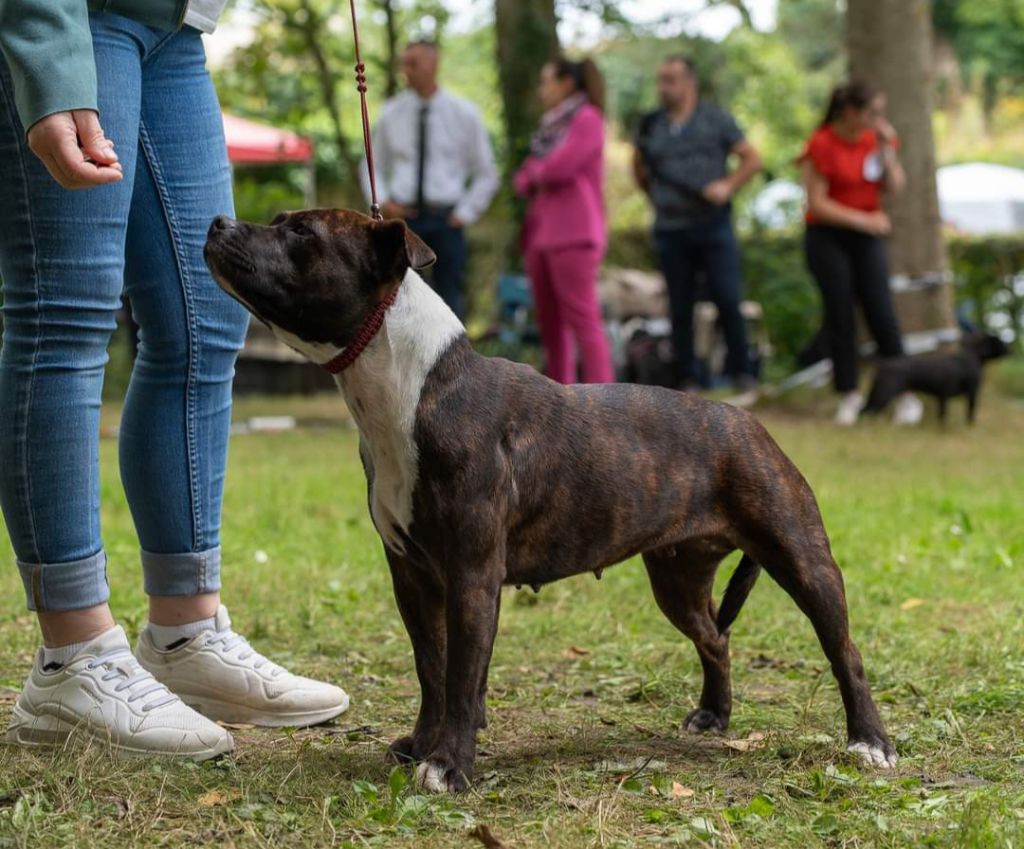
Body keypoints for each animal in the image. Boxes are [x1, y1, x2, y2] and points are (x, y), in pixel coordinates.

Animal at [205, 208, 897, 790]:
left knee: (844, 649)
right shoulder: (413, 575)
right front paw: (423, 745)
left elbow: (461, 676)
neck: (412, 387)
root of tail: (749, 423)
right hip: (677, 579)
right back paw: (712, 716)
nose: (216, 222)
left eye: (301, 232)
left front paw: (450, 766)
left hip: (802, 558)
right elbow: (432, 669)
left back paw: (870, 743)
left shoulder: (472, 574)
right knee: (715, 638)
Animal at [860, 331, 1011, 423]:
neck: (971, 355)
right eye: (998, 342)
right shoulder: (972, 393)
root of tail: (885, 363)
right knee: (867, 411)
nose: (1010, 347)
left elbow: (942, 415)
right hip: (882, 394)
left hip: (876, 392)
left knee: (865, 409)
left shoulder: (942, 397)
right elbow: (970, 412)